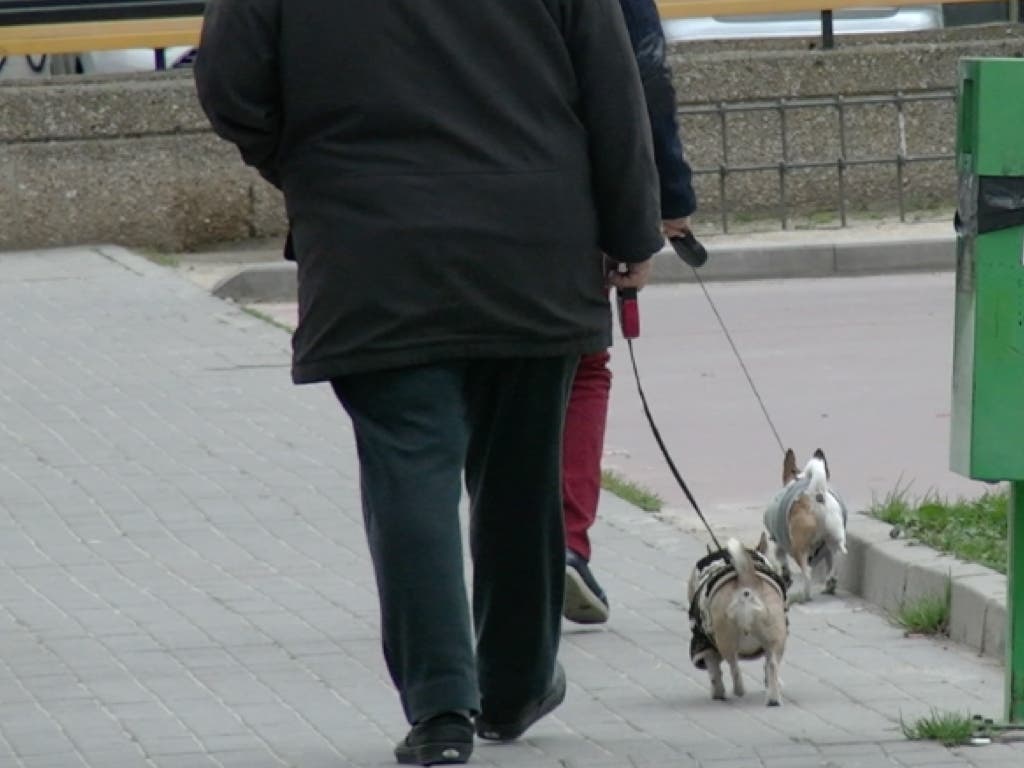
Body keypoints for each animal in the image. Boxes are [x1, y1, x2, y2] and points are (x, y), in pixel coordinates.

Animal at [688, 536, 790, 708]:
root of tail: (747, 582)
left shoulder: (705, 646)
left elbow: (714, 672)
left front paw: (717, 693)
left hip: (725, 640)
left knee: (734, 668)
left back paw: (739, 691)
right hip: (775, 638)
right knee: (771, 665)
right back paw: (773, 699)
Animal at [761, 448, 847, 606]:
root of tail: (817, 495)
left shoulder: (778, 544)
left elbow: (783, 562)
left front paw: (786, 577)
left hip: (798, 548)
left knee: (807, 572)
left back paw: (804, 596)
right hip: (835, 539)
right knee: (836, 560)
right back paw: (830, 584)